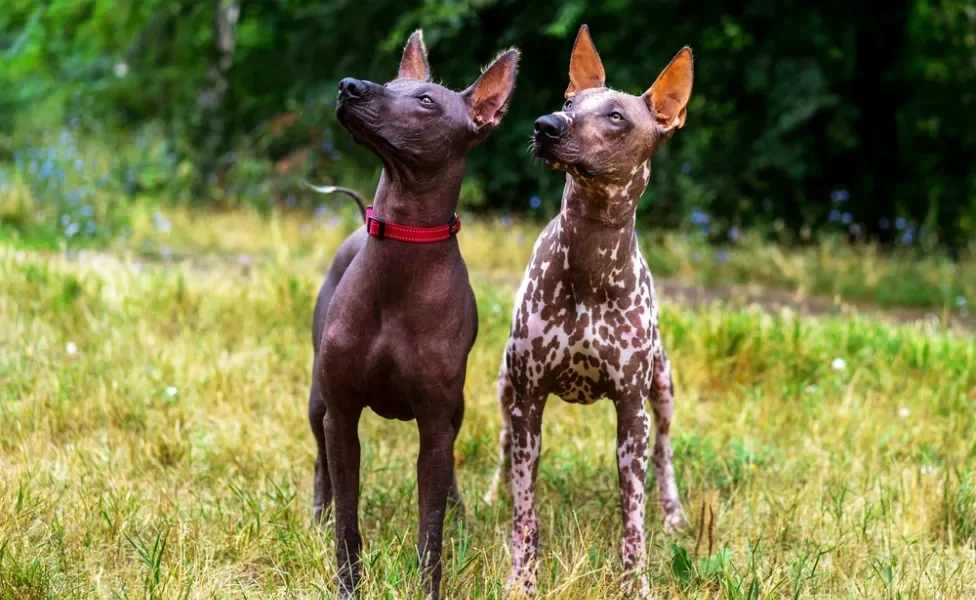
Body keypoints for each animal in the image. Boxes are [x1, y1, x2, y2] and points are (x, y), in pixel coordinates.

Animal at [308, 31, 520, 600]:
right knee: (319, 461)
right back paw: (314, 514)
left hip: (456, 412)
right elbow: (348, 522)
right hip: (317, 401)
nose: (350, 86)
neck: (402, 246)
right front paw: (347, 585)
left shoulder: (435, 424)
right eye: (390, 81)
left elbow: (431, 529)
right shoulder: (342, 415)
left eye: (426, 100)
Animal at [484, 24, 692, 600]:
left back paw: (674, 515)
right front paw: (521, 578)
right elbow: (526, 513)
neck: (591, 256)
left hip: (663, 388)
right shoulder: (529, 400)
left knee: (665, 453)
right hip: (505, 386)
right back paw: (492, 495)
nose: (546, 125)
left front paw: (636, 581)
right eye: (569, 102)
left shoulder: (631, 413)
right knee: (504, 448)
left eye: (616, 116)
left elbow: (632, 518)